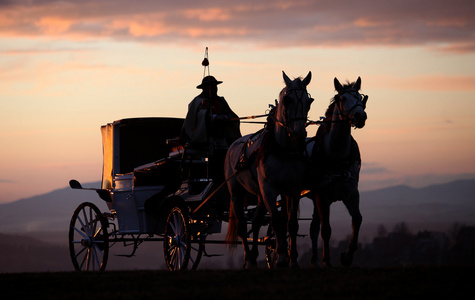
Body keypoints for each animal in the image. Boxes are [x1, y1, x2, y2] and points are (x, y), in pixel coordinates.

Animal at [225, 71, 314, 268]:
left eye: (309, 101)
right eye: (287, 100)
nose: (299, 134)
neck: (283, 149)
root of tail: (234, 144)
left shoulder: (293, 189)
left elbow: (291, 223)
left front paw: (293, 259)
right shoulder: (269, 189)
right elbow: (277, 221)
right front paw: (280, 257)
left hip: (259, 194)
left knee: (256, 222)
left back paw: (254, 255)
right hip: (236, 192)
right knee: (242, 226)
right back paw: (248, 259)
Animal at [306, 77, 370, 268]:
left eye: (360, 97)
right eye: (342, 98)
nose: (360, 116)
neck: (336, 156)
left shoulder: (351, 193)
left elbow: (357, 219)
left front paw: (347, 256)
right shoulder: (322, 196)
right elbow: (326, 229)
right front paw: (327, 260)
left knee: (313, 228)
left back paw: (313, 260)